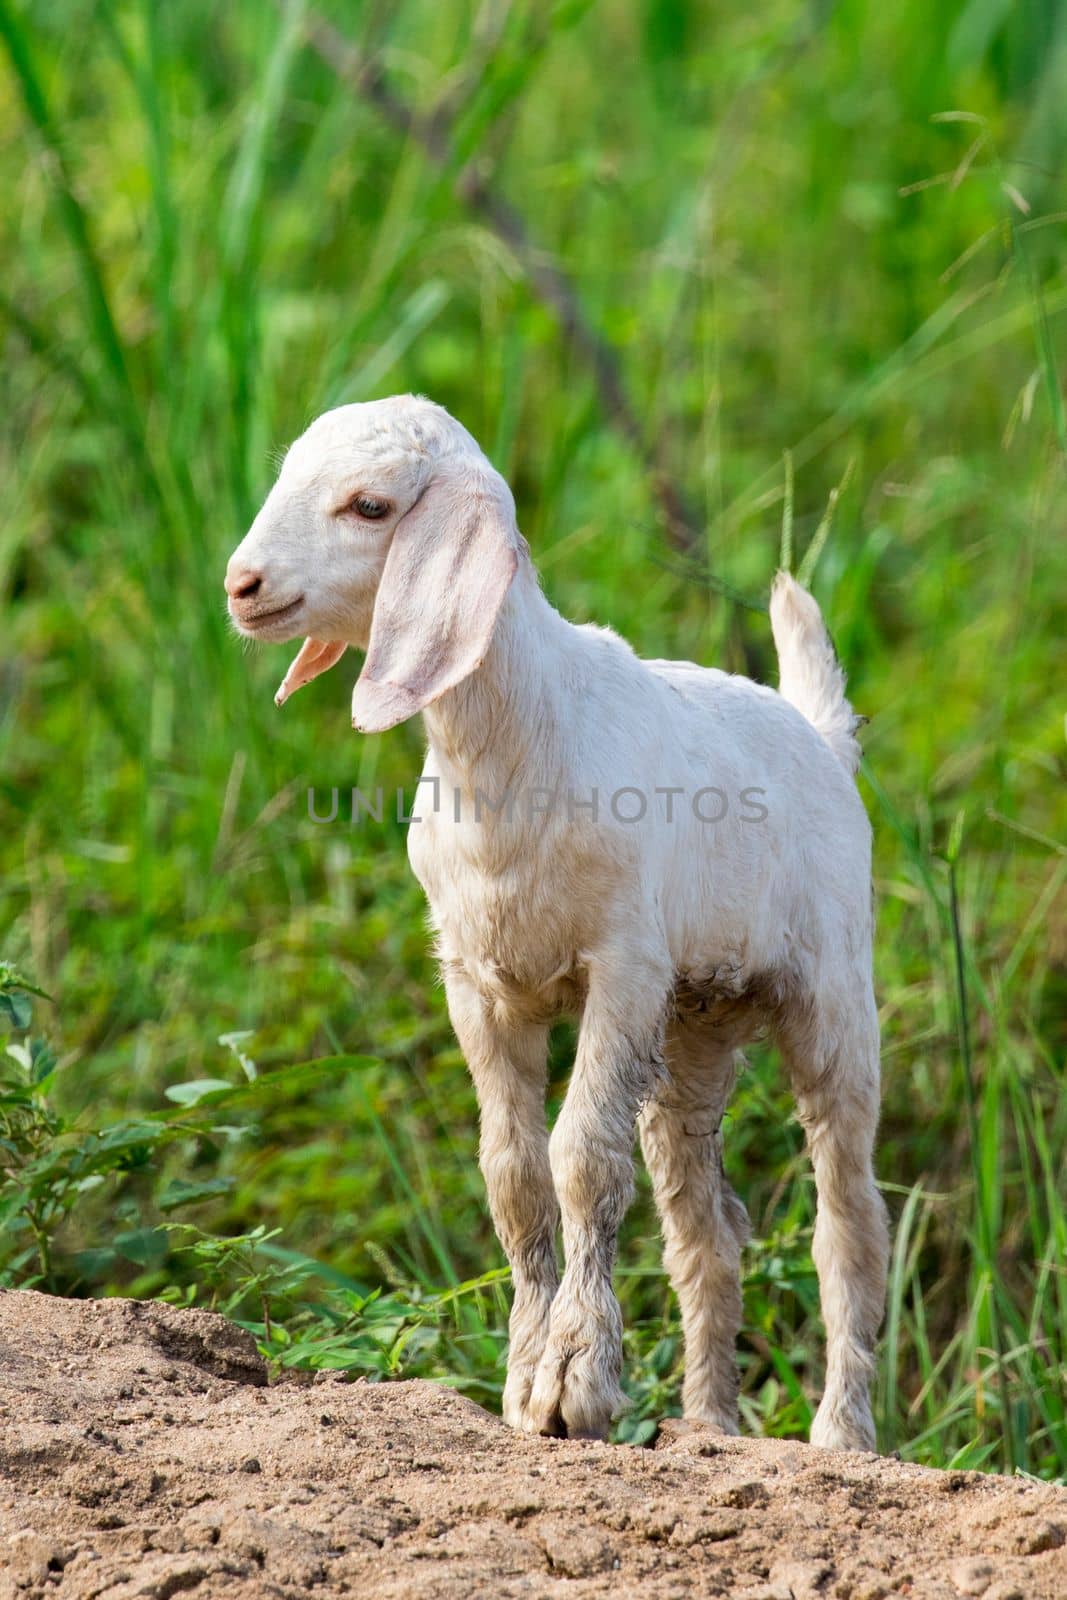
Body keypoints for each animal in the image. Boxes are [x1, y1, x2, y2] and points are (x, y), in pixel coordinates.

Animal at [227, 396, 895, 1452]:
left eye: (369, 506)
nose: (241, 586)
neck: (517, 747)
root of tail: (820, 735)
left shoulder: (620, 967)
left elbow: (580, 1161)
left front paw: (574, 1384)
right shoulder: (479, 983)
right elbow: (512, 1176)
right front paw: (519, 1381)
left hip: (829, 999)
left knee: (849, 1222)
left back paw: (840, 1435)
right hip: (693, 1025)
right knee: (706, 1234)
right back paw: (708, 1427)